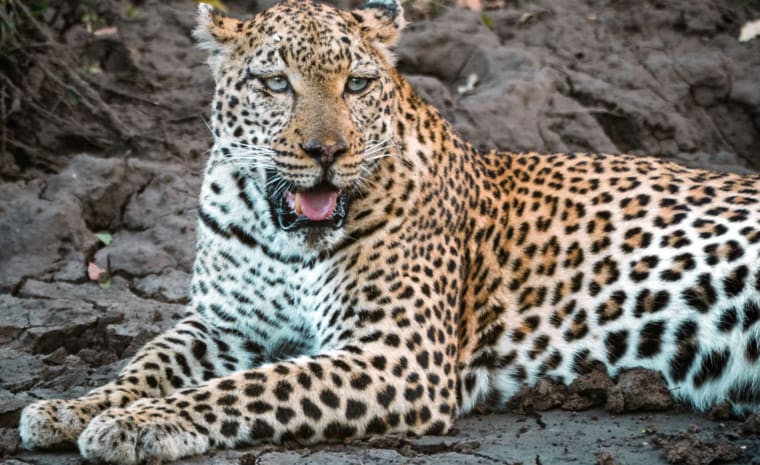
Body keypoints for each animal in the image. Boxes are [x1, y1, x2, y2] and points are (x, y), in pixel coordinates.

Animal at [18, 0, 760, 463]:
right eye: (275, 82)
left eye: (358, 82)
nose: (326, 151)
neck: (284, 235)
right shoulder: (224, 324)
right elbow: (143, 364)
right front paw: (72, 409)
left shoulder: (397, 354)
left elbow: (249, 387)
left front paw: (140, 423)